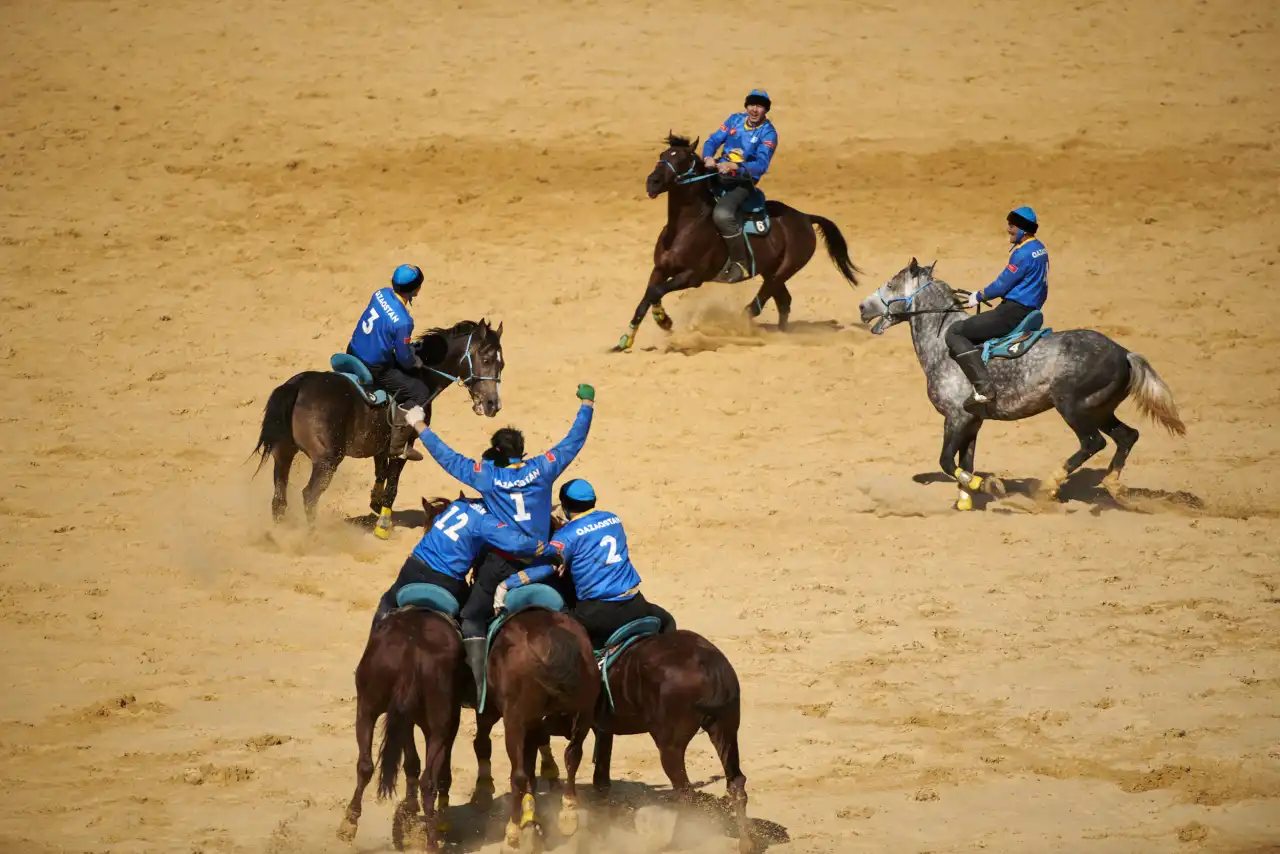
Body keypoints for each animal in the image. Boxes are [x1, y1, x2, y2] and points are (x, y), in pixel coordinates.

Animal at [247, 318, 501, 535]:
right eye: (487, 360)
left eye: (503, 364)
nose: (493, 405)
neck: (422, 374)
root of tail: (299, 385)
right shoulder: (404, 446)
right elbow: (393, 483)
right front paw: (383, 523)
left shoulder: (381, 446)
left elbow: (381, 473)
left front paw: (375, 504)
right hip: (327, 461)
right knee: (309, 495)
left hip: (283, 454)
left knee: (279, 496)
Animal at [611, 132, 860, 350]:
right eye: (662, 154)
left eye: (681, 159)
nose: (652, 182)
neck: (686, 227)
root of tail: (805, 217)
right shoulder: (660, 269)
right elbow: (647, 297)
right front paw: (627, 339)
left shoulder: (692, 277)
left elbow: (656, 292)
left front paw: (665, 321)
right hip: (771, 271)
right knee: (784, 302)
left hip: (783, 271)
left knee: (757, 305)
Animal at [855, 261, 1182, 512]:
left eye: (890, 283)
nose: (861, 307)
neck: (941, 345)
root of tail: (1124, 353)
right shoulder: (972, 421)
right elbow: (965, 461)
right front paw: (965, 501)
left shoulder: (956, 417)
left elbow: (947, 462)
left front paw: (988, 485)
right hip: (1101, 410)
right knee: (1127, 437)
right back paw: (1113, 488)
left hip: (1074, 408)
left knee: (1093, 443)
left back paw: (1048, 487)